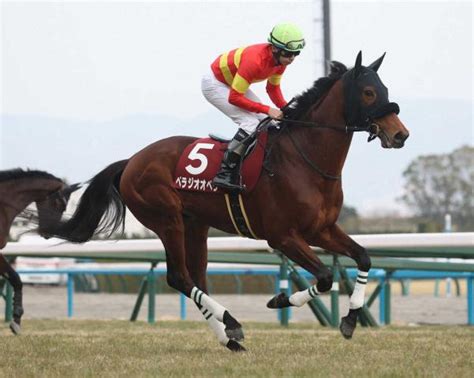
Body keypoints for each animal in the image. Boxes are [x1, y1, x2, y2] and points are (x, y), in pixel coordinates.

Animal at [42, 52, 410, 352]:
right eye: (368, 92)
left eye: (385, 89)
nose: (400, 134)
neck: (305, 160)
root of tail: (132, 161)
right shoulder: (282, 236)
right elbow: (323, 277)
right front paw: (279, 300)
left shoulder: (322, 229)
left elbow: (362, 257)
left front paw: (350, 319)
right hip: (166, 219)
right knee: (179, 277)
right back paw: (231, 323)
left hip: (196, 225)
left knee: (196, 278)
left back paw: (228, 337)